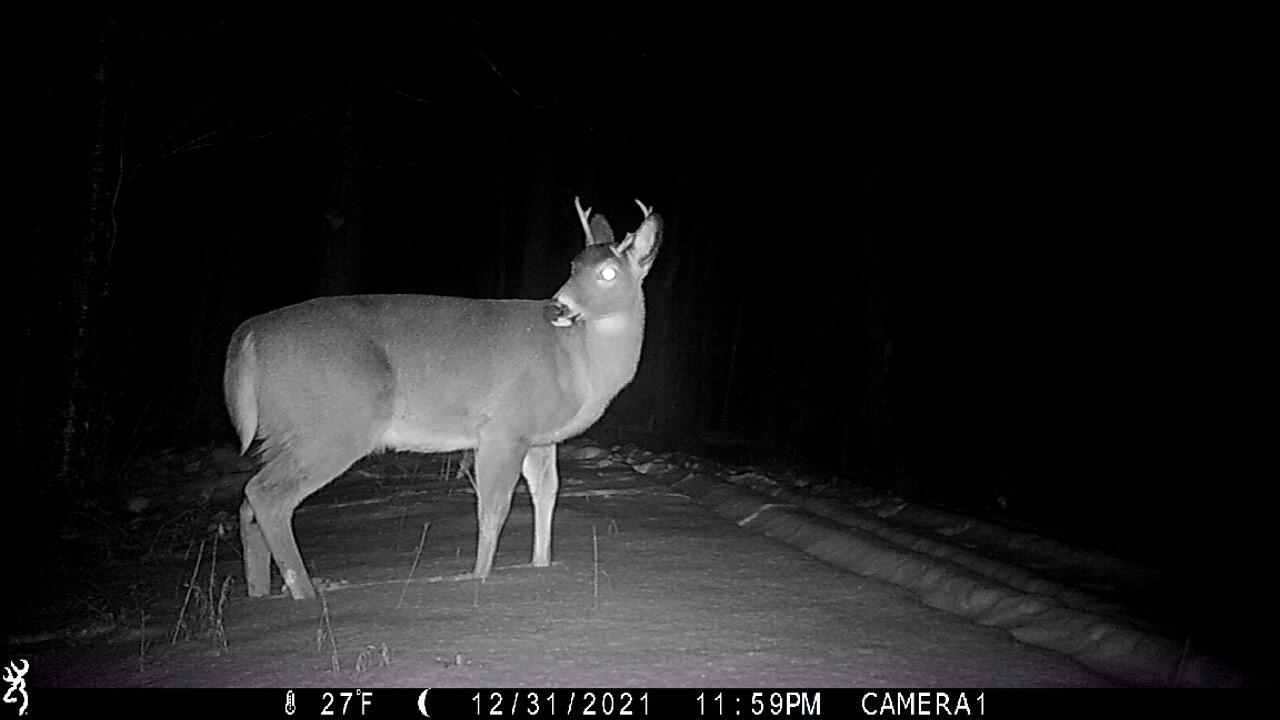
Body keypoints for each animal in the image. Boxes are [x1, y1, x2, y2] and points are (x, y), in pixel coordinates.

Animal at [223, 197, 662, 599]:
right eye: (572, 267)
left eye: (607, 272)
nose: (558, 307)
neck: (578, 359)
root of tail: (247, 337)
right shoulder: (505, 426)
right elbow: (494, 508)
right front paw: (479, 579)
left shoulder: (541, 437)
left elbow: (546, 495)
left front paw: (541, 567)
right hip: (332, 424)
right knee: (267, 496)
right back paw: (306, 596)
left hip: (282, 429)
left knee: (249, 502)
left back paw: (260, 594)